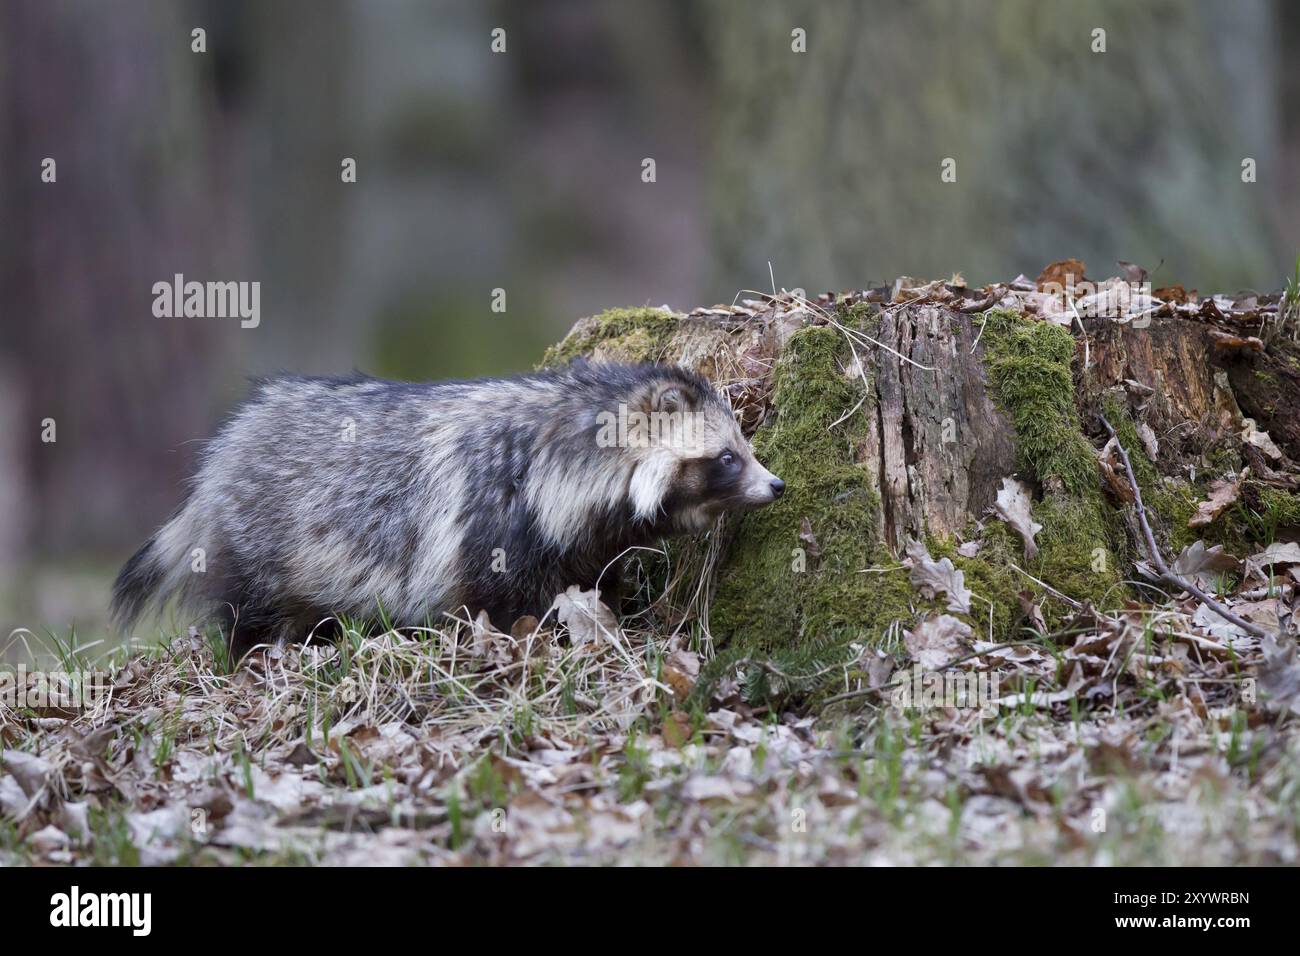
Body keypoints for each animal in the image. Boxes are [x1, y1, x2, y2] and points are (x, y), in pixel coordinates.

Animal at [111, 361, 780, 658]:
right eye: (727, 457)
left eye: (743, 446)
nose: (775, 485)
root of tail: (222, 458)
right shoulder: (494, 518)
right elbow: (502, 601)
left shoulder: (585, 538)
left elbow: (595, 576)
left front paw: (607, 613)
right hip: (265, 534)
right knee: (247, 608)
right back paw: (252, 652)